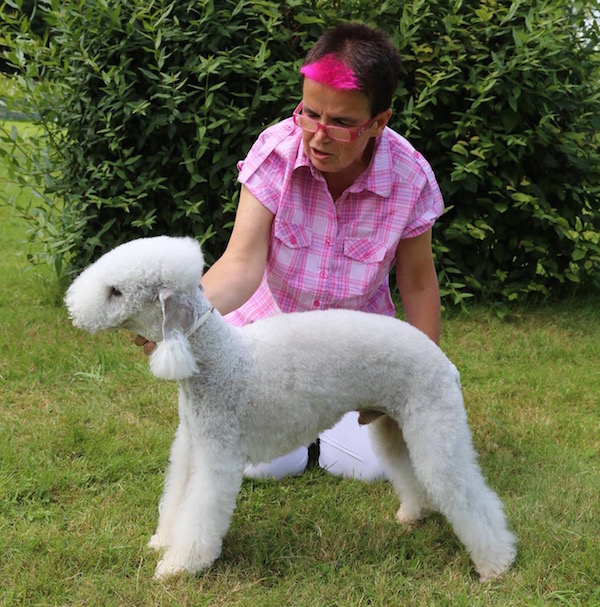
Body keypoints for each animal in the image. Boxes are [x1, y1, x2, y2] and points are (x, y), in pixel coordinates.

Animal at [64, 235, 516, 580]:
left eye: (115, 291)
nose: (73, 311)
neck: (218, 359)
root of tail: (444, 361)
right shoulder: (191, 444)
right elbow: (176, 497)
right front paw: (163, 542)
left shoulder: (217, 454)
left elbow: (201, 509)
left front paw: (180, 566)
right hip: (393, 425)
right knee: (410, 472)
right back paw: (414, 513)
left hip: (434, 424)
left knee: (467, 494)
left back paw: (496, 564)